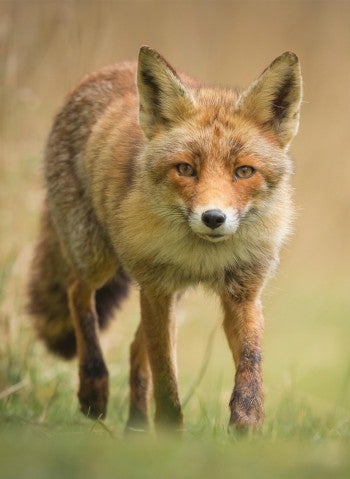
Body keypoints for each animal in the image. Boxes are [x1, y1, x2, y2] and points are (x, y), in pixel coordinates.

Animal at [27, 47, 302, 434]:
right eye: (185, 169)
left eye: (244, 171)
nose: (213, 218)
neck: (203, 257)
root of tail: (112, 67)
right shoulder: (157, 288)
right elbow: (165, 375)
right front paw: (171, 433)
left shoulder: (242, 292)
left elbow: (252, 359)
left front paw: (247, 419)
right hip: (98, 259)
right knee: (76, 292)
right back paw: (94, 386)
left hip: (163, 291)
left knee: (133, 347)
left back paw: (137, 427)